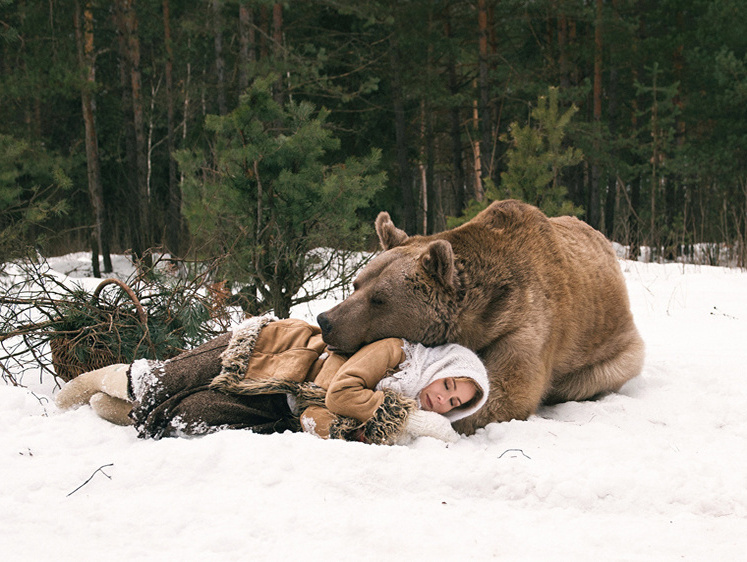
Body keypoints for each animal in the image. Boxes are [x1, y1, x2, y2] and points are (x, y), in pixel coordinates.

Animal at [318, 198, 644, 434]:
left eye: (379, 299)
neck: (478, 320)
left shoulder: (524, 324)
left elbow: (507, 392)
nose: (326, 321)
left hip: (612, 352)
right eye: (356, 284)